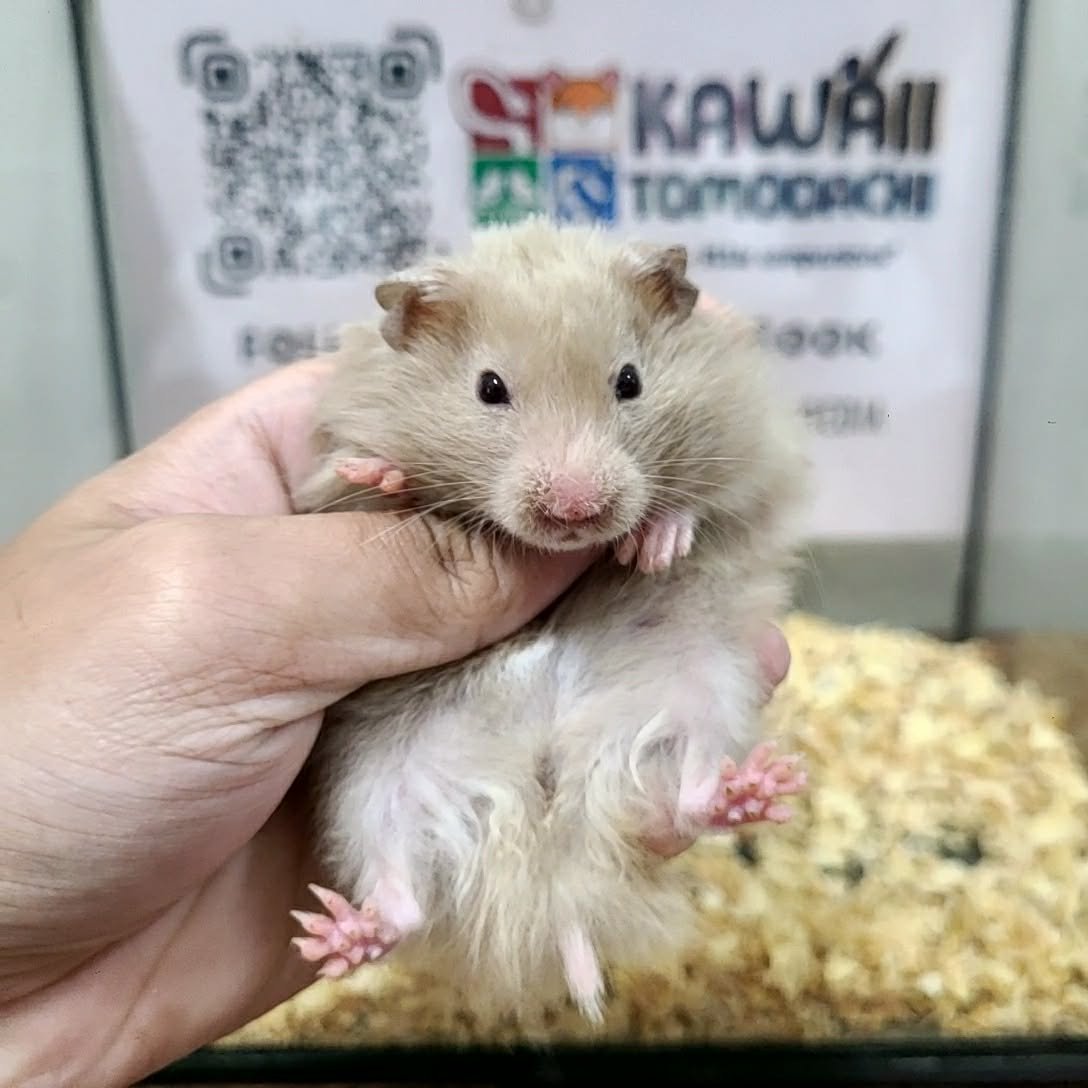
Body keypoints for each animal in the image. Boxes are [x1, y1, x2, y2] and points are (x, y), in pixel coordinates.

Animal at [288, 217, 810, 1024]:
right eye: (489, 388)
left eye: (629, 381)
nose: (576, 510)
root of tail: (546, 802)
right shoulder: (320, 488)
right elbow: (366, 487)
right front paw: (385, 474)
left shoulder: (755, 455)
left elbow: (710, 503)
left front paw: (654, 545)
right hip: (371, 787)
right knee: (400, 896)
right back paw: (338, 940)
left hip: (704, 695)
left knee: (689, 802)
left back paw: (755, 791)